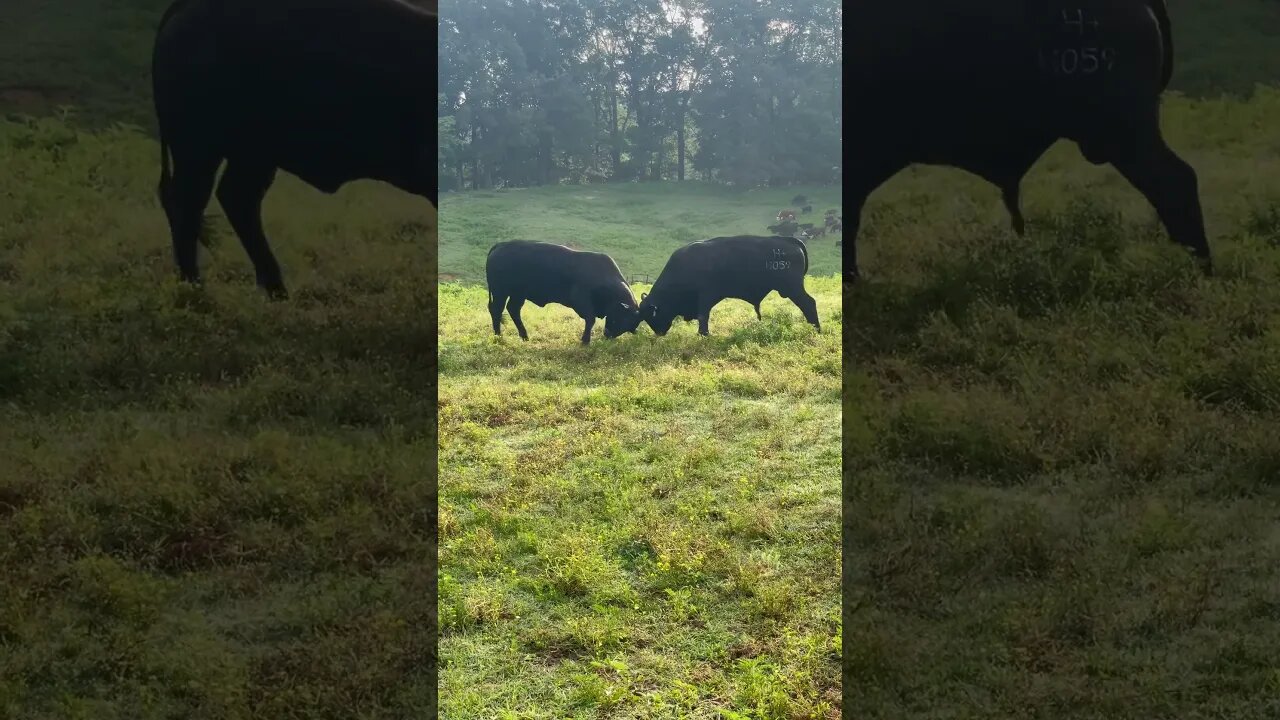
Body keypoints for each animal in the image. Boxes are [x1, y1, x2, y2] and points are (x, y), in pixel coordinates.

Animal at [151, 0, 435, 297]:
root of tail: (186, 7)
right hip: (199, 147)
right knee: (190, 201)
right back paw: (194, 286)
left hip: (252, 154)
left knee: (236, 198)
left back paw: (274, 289)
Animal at [481, 239, 637, 343]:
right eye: (624, 317)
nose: (608, 335)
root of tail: (501, 245)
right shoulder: (582, 301)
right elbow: (590, 319)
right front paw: (585, 340)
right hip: (500, 292)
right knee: (497, 310)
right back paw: (499, 336)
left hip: (518, 294)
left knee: (513, 309)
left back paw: (524, 336)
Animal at [616, 235, 819, 335]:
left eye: (651, 315)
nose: (659, 332)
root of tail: (788, 240)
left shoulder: (706, 296)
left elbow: (703, 316)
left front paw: (704, 334)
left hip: (793, 288)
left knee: (809, 303)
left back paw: (815, 329)